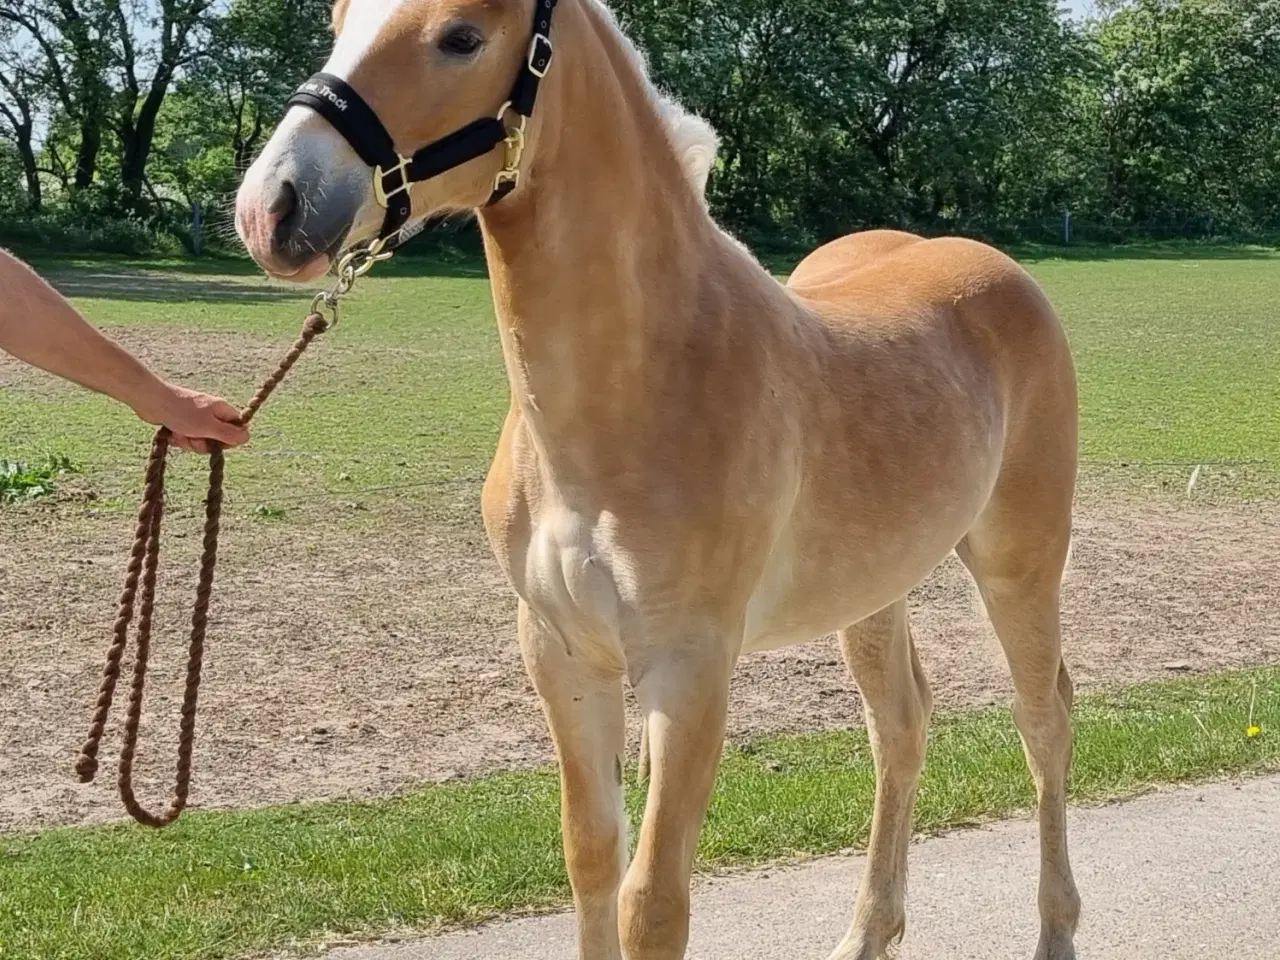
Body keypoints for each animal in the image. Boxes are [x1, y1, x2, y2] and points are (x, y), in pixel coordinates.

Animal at [232, 3, 1080, 957]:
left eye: (460, 36)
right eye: (338, 19)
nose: (273, 206)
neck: (640, 384)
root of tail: (998, 271)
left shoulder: (690, 667)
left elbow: (655, 900)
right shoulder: (562, 655)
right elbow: (592, 858)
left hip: (1019, 564)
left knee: (1044, 721)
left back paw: (1054, 930)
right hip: (873, 590)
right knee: (901, 725)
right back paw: (867, 932)